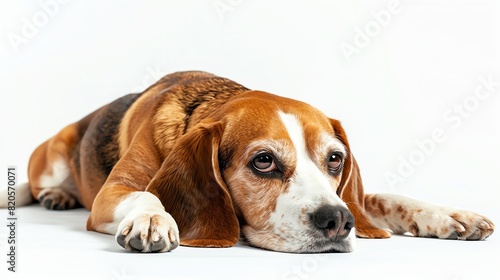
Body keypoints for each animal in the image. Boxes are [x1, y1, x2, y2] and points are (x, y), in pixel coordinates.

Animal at [0, 70, 492, 254]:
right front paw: (154, 220)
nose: (337, 221)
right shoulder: (111, 194)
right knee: (35, 183)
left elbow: (385, 198)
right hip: (52, 157)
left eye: (335, 159)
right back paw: (53, 194)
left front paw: (449, 216)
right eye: (264, 162)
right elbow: (146, 195)